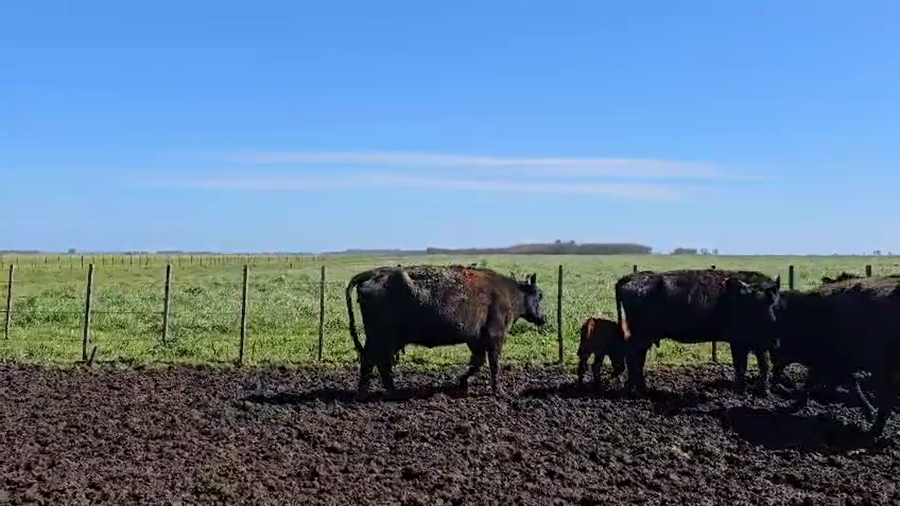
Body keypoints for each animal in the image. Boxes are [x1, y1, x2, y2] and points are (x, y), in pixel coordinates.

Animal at [345, 264, 547, 395]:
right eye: (540, 295)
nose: (543, 318)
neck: (511, 293)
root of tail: (375, 272)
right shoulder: (495, 337)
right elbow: (493, 365)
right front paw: (499, 391)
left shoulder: (476, 340)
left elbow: (477, 363)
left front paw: (461, 382)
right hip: (381, 338)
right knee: (372, 361)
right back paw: (367, 392)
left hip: (386, 340)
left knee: (379, 362)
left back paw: (389, 390)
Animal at [614, 269, 782, 397]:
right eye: (757, 306)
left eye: (774, 303)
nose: (775, 341)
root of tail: (632, 277)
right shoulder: (740, 342)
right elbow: (744, 364)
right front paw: (746, 390)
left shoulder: (753, 344)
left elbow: (758, 364)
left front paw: (761, 391)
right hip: (641, 335)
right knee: (632, 358)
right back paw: (633, 390)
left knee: (638, 359)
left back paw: (641, 389)